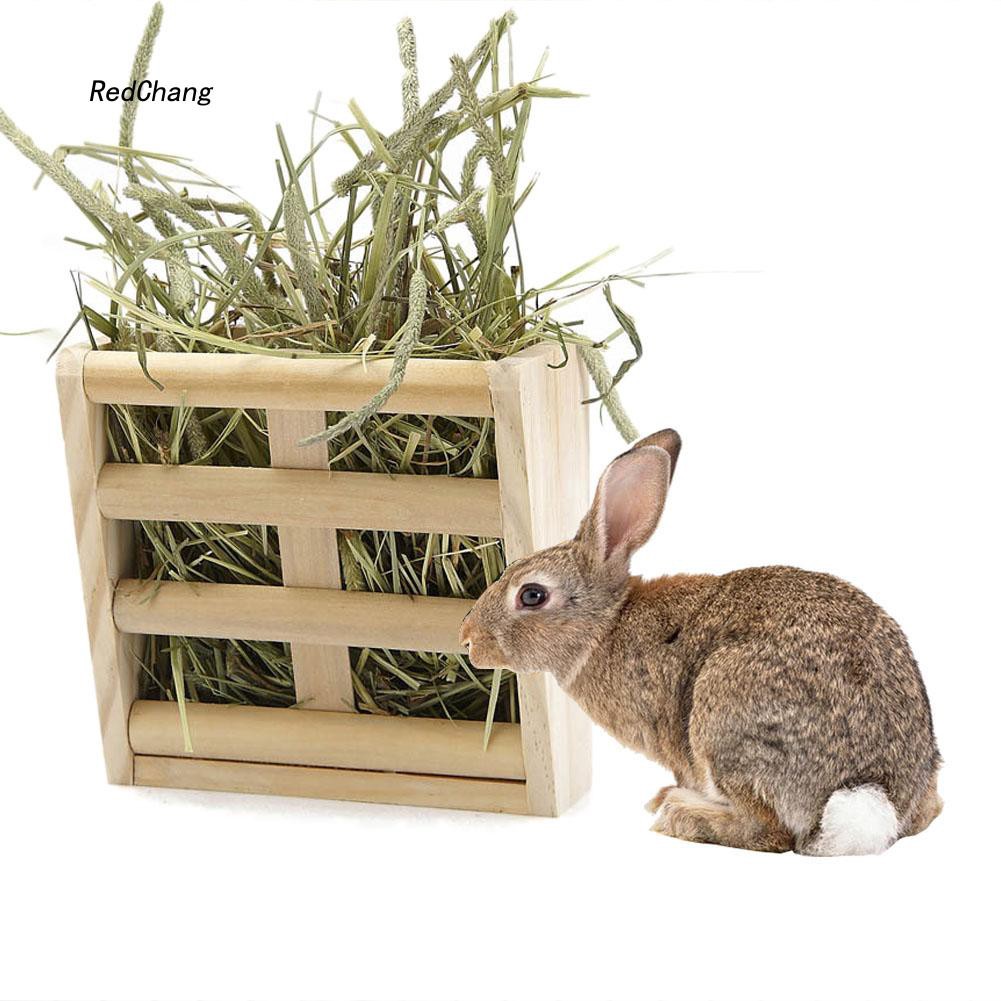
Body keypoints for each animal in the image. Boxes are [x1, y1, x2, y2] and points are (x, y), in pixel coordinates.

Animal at [459, 429, 942, 854]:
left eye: (532, 595)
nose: (467, 639)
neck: (606, 625)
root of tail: (871, 796)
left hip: (723, 716)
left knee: (770, 833)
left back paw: (680, 814)